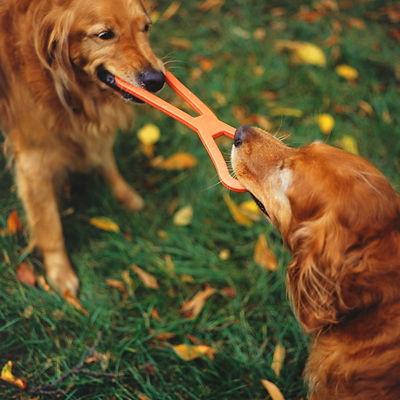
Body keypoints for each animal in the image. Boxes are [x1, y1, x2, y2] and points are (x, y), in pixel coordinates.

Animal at [0, 0, 165, 294]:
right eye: (105, 35)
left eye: (146, 27)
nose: (158, 80)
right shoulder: (33, 160)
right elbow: (49, 224)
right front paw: (60, 273)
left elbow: (105, 159)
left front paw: (125, 195)